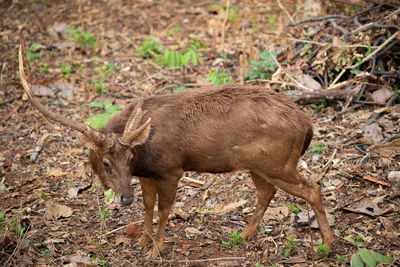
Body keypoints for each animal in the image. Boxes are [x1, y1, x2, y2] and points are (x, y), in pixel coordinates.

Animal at [18, 44, 334, 260]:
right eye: (107, 162)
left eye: (129, 158)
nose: (124, 198)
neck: (145, 156)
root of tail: (307, 125)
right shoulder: (147, 174)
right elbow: (147, 205)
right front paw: (143, 240)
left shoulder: (171, 169)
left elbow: (164, 209)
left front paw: (155, 249)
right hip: (258, 164)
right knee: (267, 191)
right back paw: (243, 235)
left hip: (279, 162)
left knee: (313, 187)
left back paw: (327, 244)